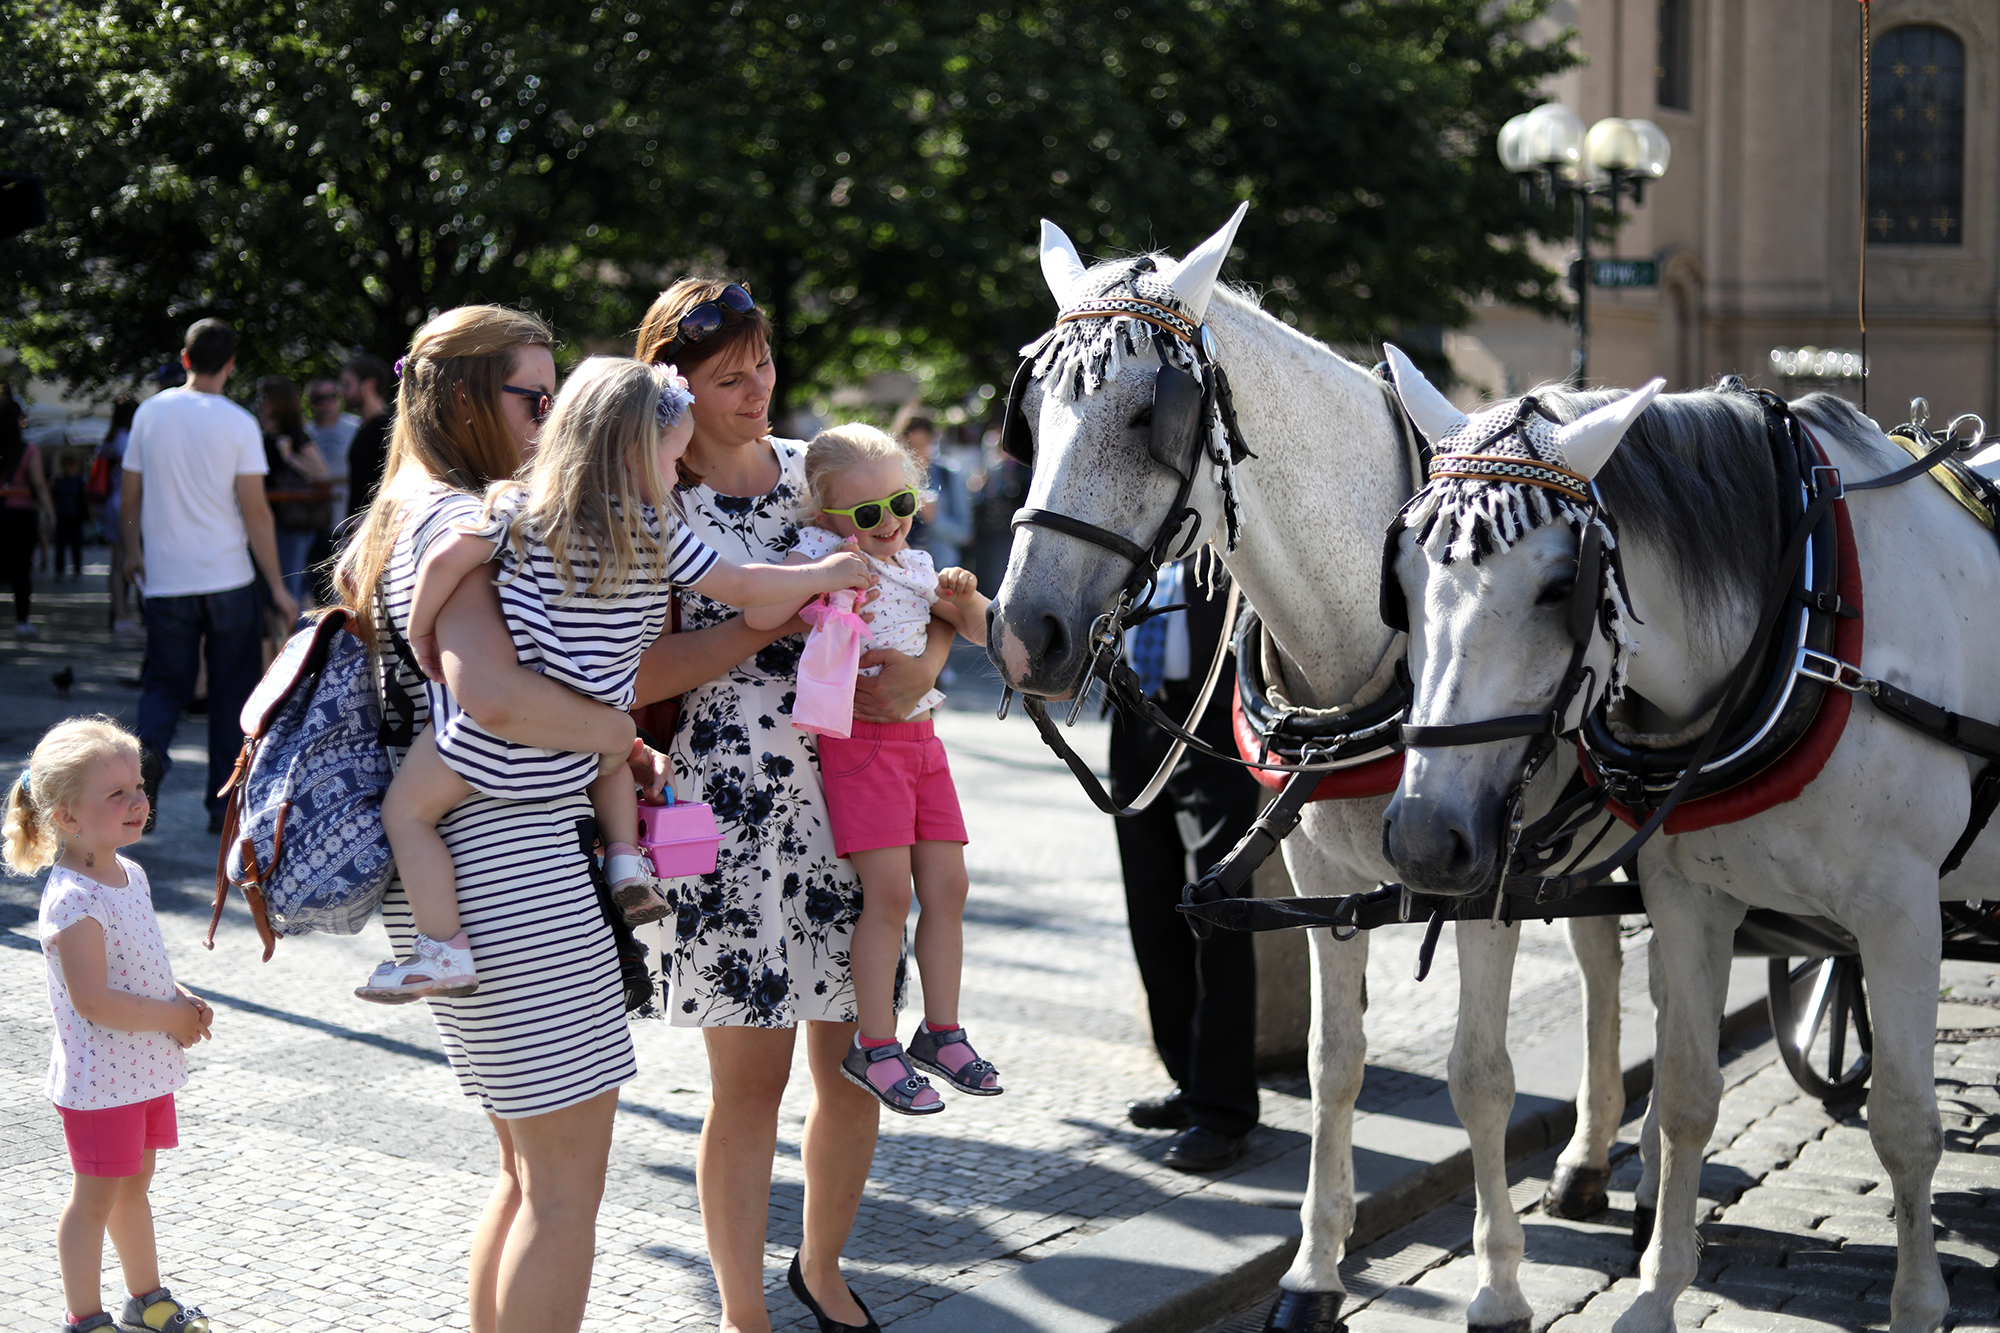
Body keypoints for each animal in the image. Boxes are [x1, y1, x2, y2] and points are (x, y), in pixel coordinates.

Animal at [992, 208, 1632, 1328]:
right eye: (1028, 413)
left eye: (1148, 417)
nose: (1025, 633)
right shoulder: (1318, 871)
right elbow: (1336, 1065)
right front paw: (1312, 1272)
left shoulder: (1485, 880)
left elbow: (1480, 1075)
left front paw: (1499, 1284)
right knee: (1600, 954)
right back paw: (1588, 1160)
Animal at [1376, 356, 2000, 1328]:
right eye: (1399, 578)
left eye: (1558, 586)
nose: (1421, 839)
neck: (1811, 622)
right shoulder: (1690, 898)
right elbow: (1685, 1099)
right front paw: (1657, 1291)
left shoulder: (1903, 913)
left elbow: (1904, 1120)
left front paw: (1918, 1300)